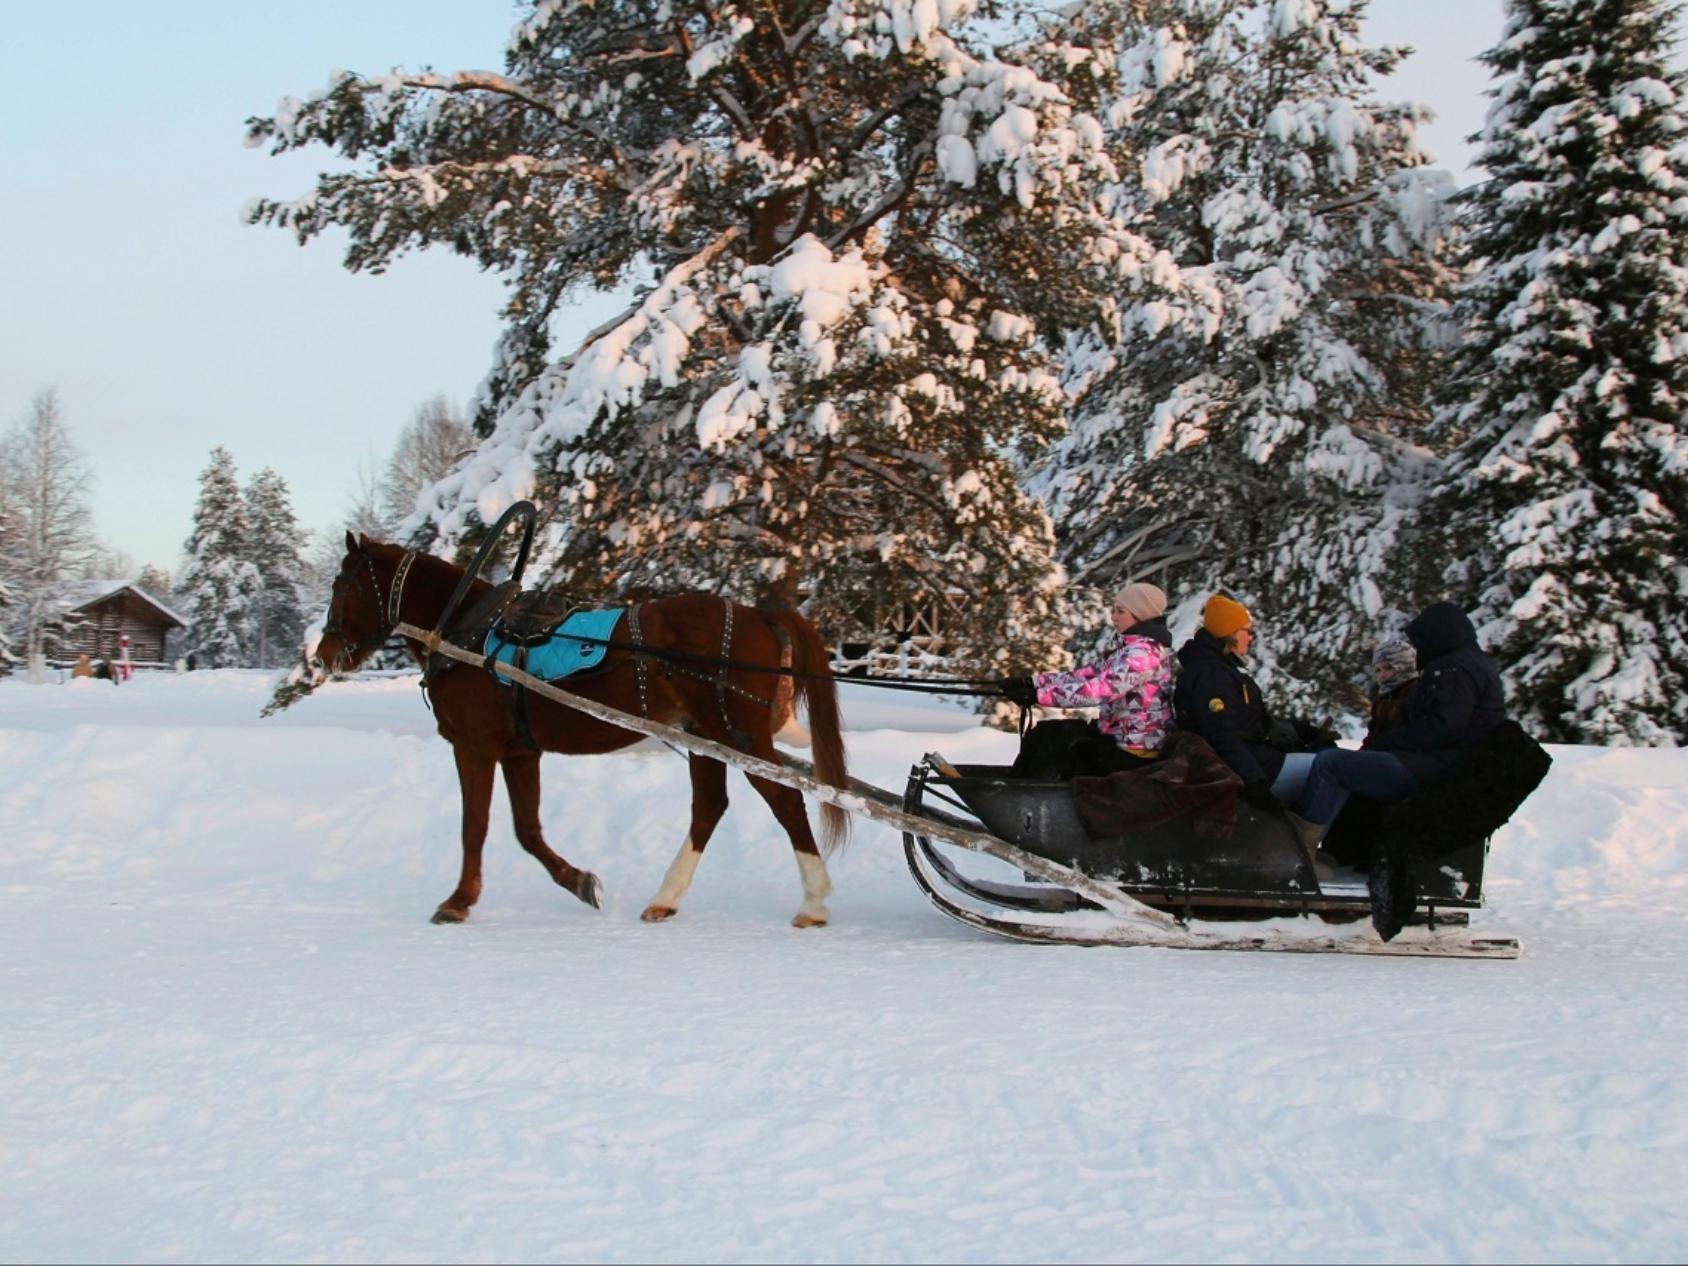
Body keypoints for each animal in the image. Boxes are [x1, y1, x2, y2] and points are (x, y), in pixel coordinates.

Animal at [315, 530, 850, 925]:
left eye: (343, 587)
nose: (322, 654)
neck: (468, 631)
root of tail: (758, 613)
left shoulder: (475, 748)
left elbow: (476, 826)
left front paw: (458, 900)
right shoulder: (520, 752)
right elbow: (527, 830)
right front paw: (578, 881)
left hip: (739, 735)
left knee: (785, 801)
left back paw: (814, 899)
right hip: (704, 737)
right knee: (709, 808)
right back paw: (666, 897)